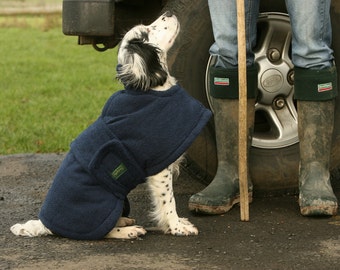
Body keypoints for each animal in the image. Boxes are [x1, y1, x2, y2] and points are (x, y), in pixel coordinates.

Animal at [10, 12, 211, 240]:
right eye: (146, 32)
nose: (167, 13)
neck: (150, 90)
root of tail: (45, 224)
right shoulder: (159, 169)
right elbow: (168, 201)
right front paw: (177, 227)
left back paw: (124, 220)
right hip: (105, 202)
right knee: (102, 232)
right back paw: (129, 230)